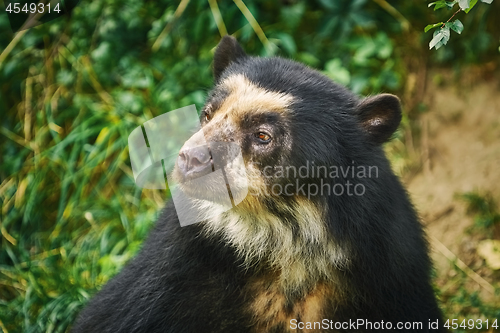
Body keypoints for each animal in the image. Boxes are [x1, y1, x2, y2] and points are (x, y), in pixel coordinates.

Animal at [71, 35, 446, 330]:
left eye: (263, 136)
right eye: (207, 114)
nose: (190, 160)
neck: (282, 238)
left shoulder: (388, 274)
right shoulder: (169, 274)